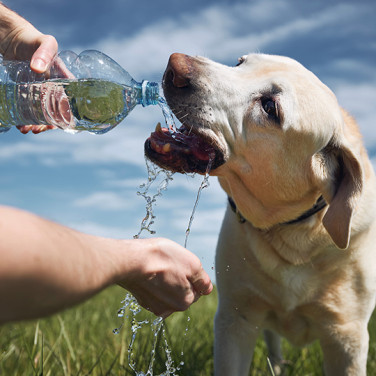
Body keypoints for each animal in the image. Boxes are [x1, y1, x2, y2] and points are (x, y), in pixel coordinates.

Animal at [145, 51, 376, 374]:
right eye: (240, 63)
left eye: (269, 107)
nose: (174, 65)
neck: (295, 236)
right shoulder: (235, 319)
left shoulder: (348, 337)